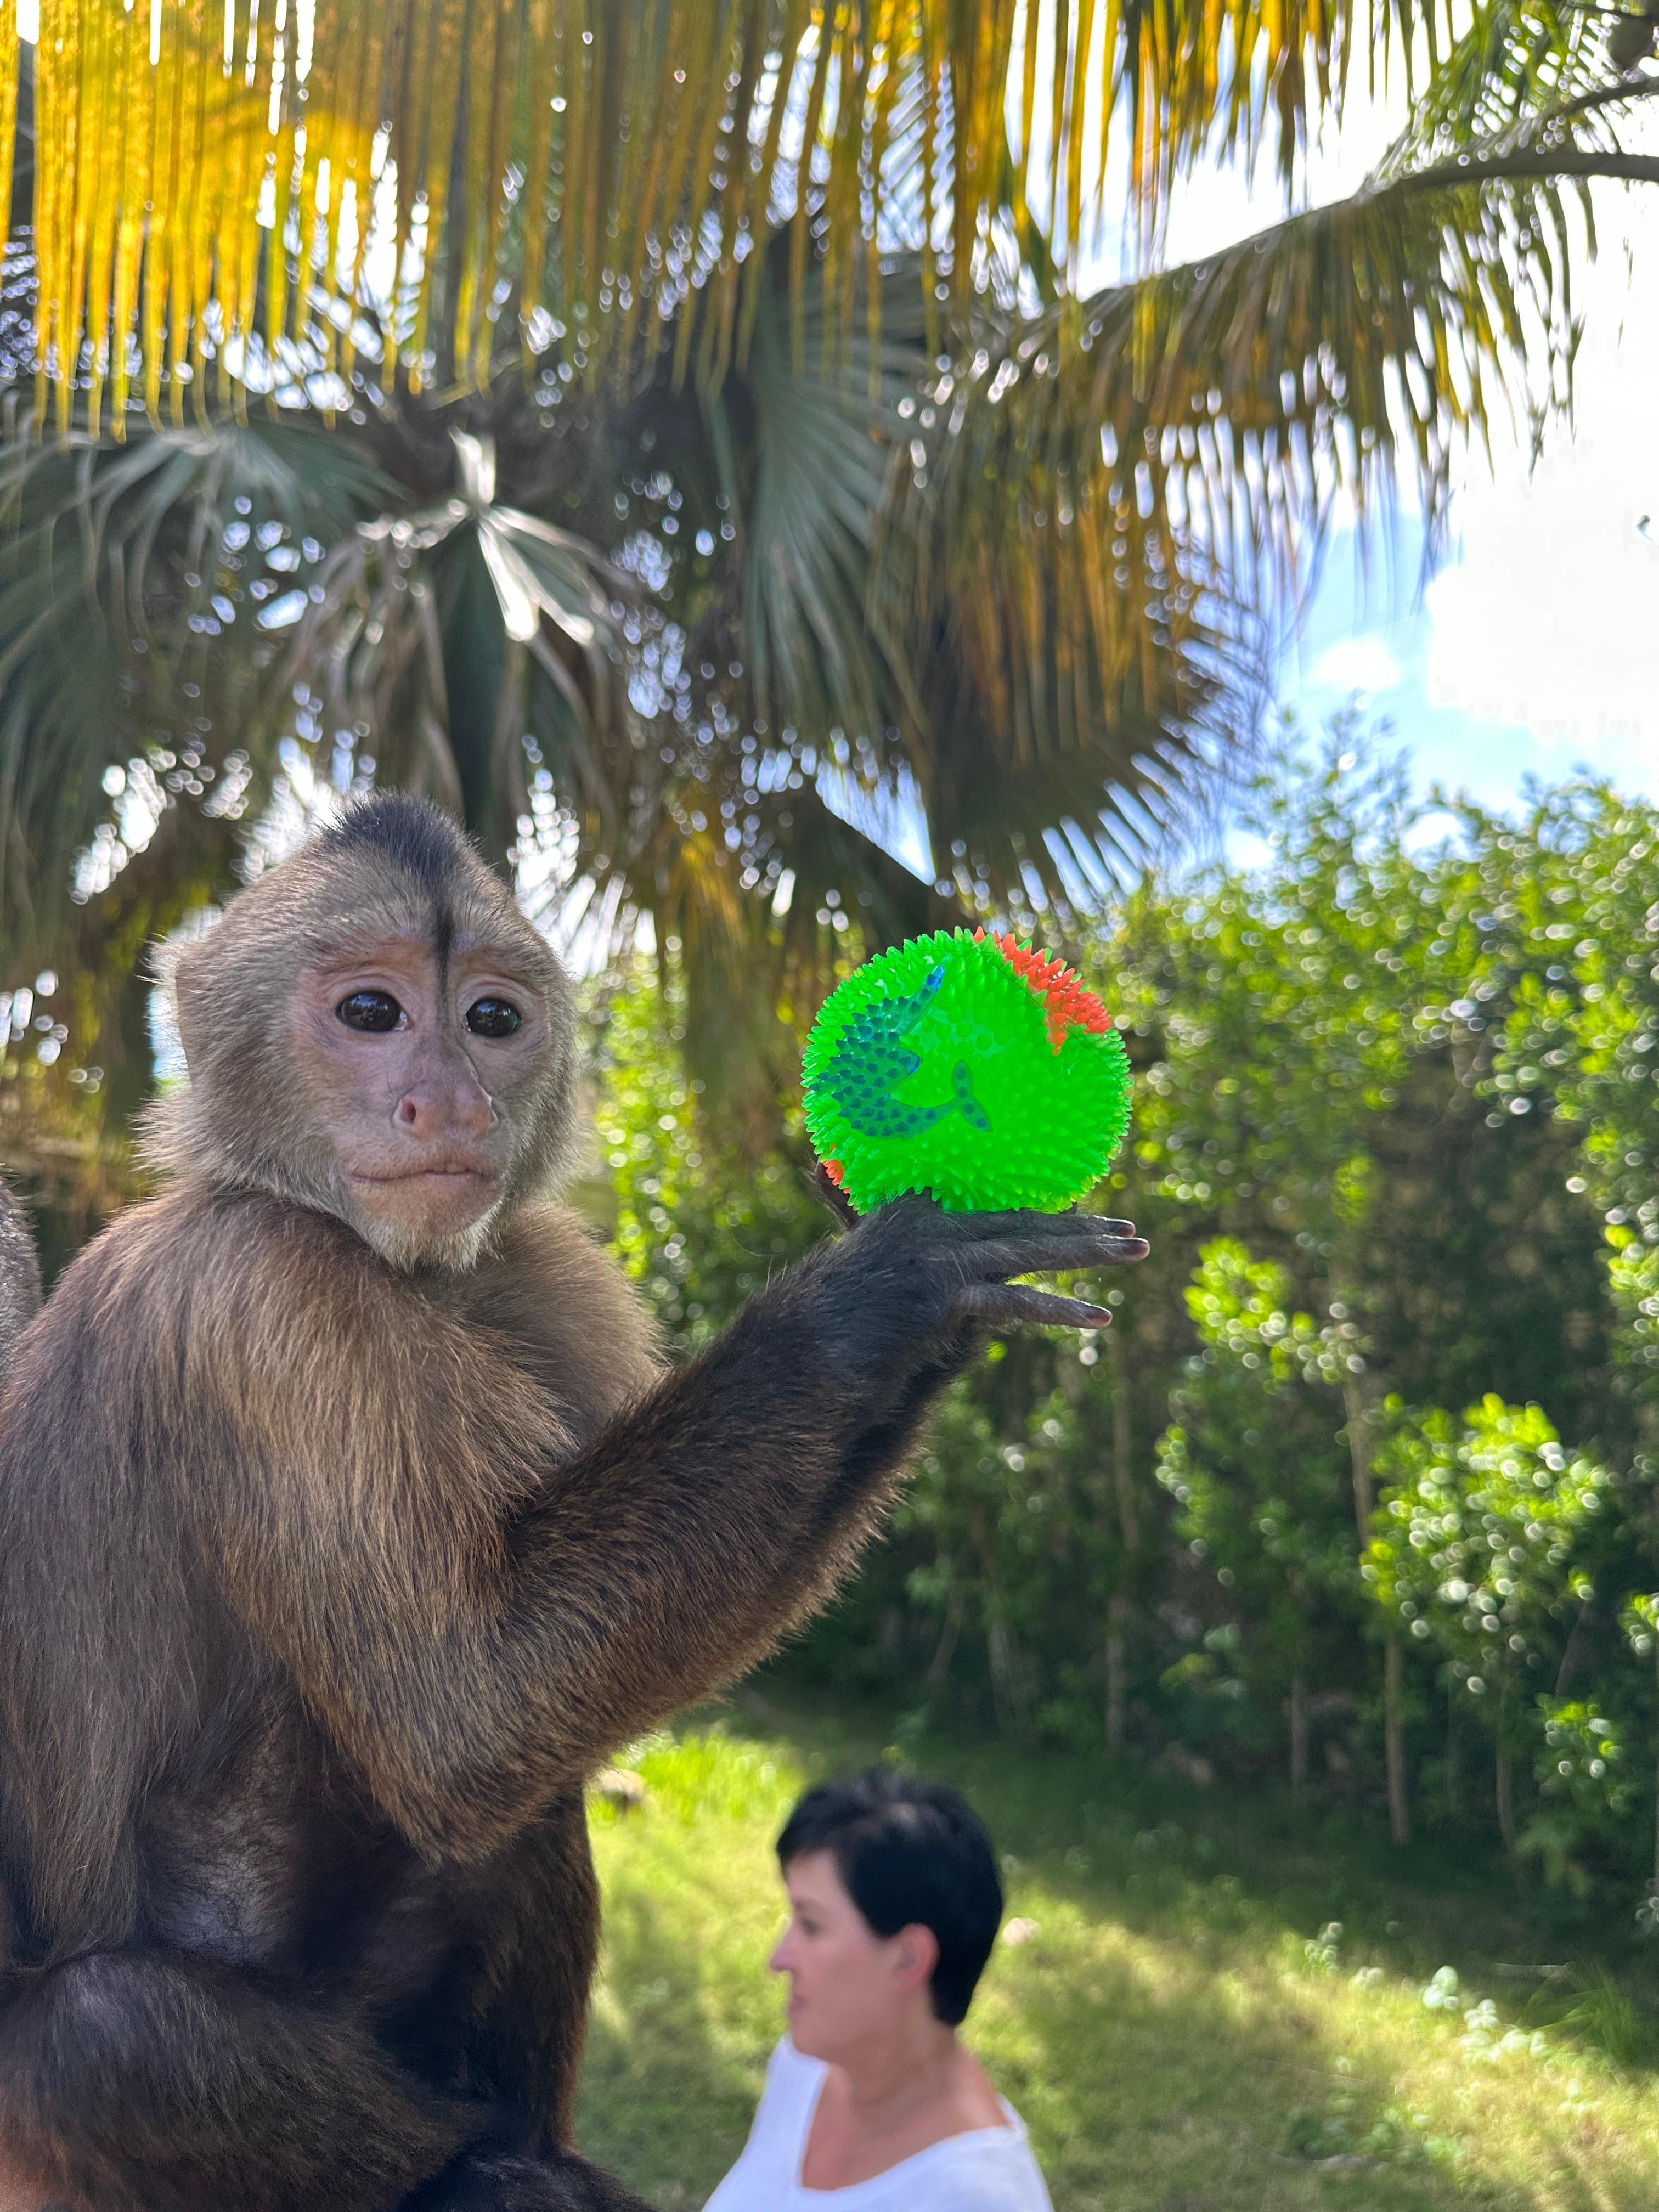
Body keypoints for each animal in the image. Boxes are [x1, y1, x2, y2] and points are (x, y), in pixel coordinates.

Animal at [0, 794, 1147, 2212]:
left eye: (493, 1020)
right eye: (369, 1013)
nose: (450, 1100)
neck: (399, 1268)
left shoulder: (552, 1273)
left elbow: (556, 1702)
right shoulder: (256, 1292)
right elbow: (468, 1713)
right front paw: (886, 1301)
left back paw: (525, 2153)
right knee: (97, 2036)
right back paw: (482, 2175)